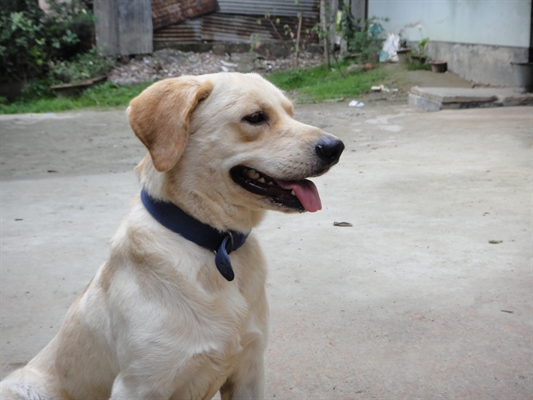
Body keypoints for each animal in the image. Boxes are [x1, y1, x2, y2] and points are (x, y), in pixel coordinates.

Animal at [2, 72, 342, 400]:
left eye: (290, 113)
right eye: (255, 117)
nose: (335, 147)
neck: (215, 246)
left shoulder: (249, 370)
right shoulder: (136, 386)